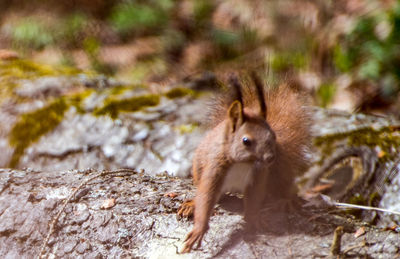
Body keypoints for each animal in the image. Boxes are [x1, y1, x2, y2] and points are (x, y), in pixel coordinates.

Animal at [178, 73, 312, 254]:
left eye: (273, 136)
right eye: (246, 141)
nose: (269, 158)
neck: (242, 162)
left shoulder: (258, 174)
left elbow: (254, 198)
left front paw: (254, 219)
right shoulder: (215, 168)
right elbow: (207, 195)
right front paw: (199, 229)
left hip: (279, 168)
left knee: (282, 183)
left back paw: (287, 199)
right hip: (198, 167)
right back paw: (191, 205)